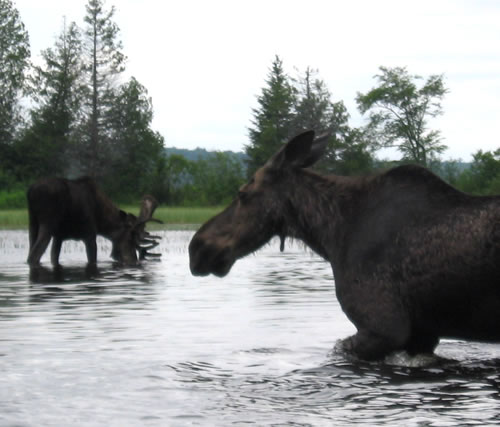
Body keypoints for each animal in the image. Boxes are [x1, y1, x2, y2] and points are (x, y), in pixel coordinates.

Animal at [26, 177, 162, 268]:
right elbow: (92, 259)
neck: (103, 222)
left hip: (32, 223)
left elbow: (55, 257)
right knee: (34, 254)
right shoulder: (89, 234)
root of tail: (31, 191)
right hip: (48, 223)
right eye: (130, 239)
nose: (133, 260)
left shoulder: (59, 237)